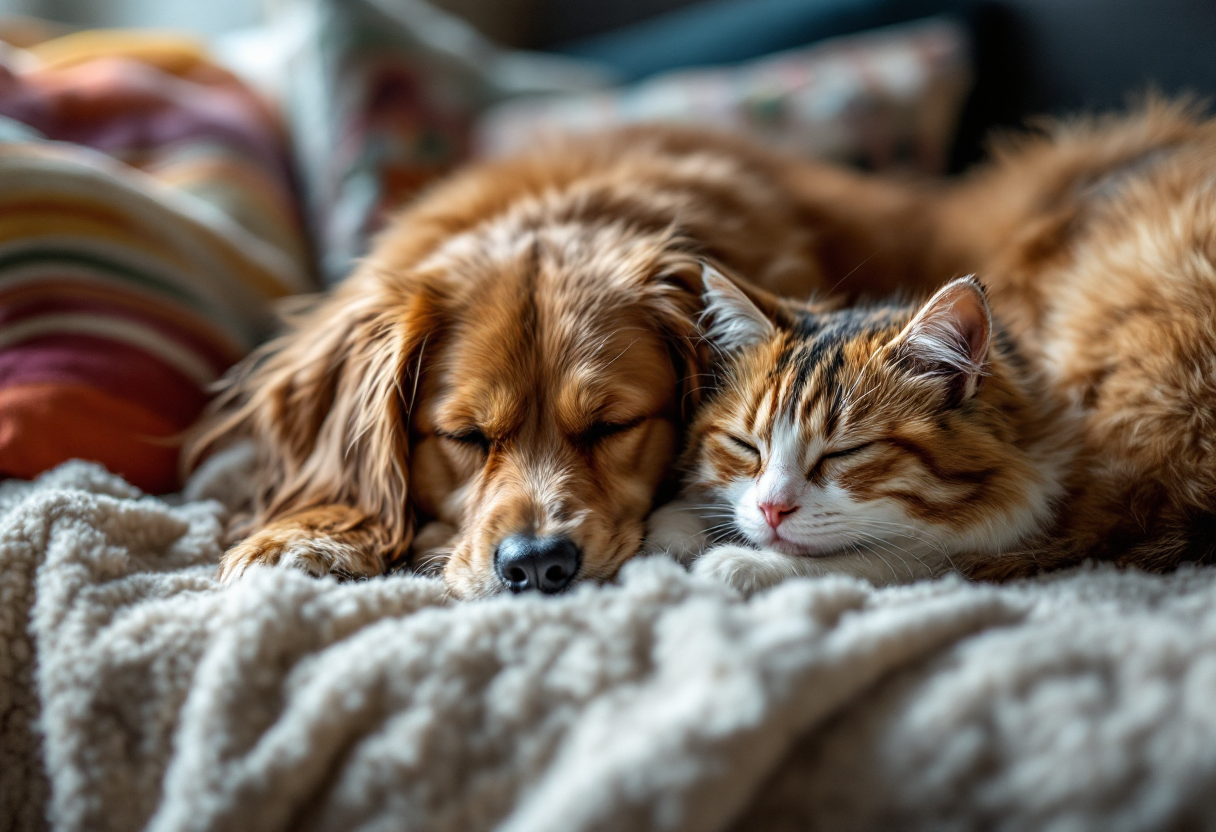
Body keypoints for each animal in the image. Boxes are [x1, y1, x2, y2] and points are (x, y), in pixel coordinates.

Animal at [651, 104, 1216, 591]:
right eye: (745, 446)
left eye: (847, 452)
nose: (772, 510)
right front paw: (679, 523)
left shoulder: (1054, 503)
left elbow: (898, 555)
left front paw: (739, 561)